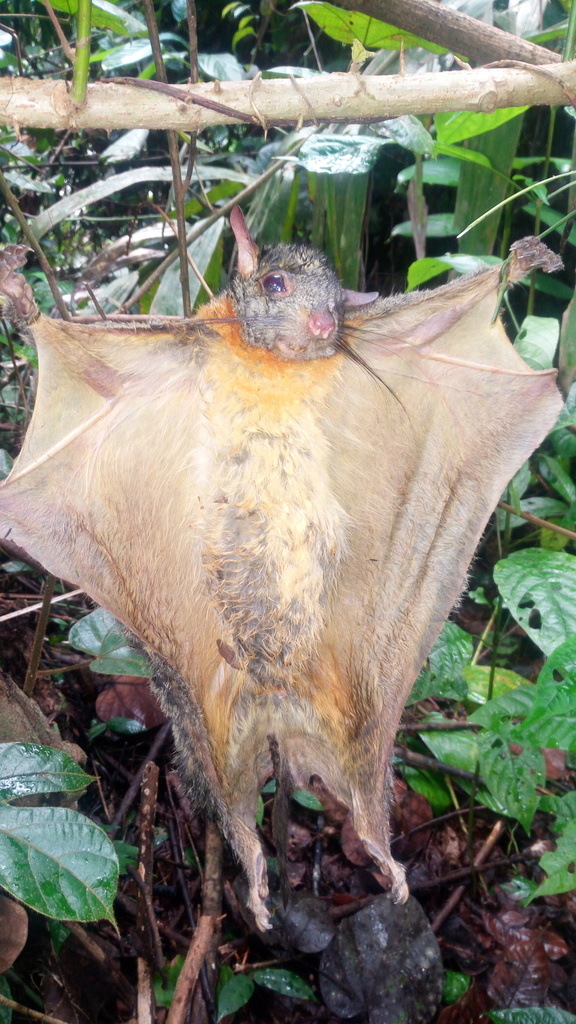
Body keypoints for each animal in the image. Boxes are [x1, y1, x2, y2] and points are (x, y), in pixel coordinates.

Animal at [0, 217, 563, 930]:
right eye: (274, 284)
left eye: (340, 300)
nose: (325, 323)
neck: (275, 365)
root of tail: (281, 715)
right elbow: (65, 343)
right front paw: (21, 299)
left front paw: (518, 266)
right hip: (198, 712)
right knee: (226, 798)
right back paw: (259, 878)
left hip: (364, 702)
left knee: (363, 780)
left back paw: (380, 859)